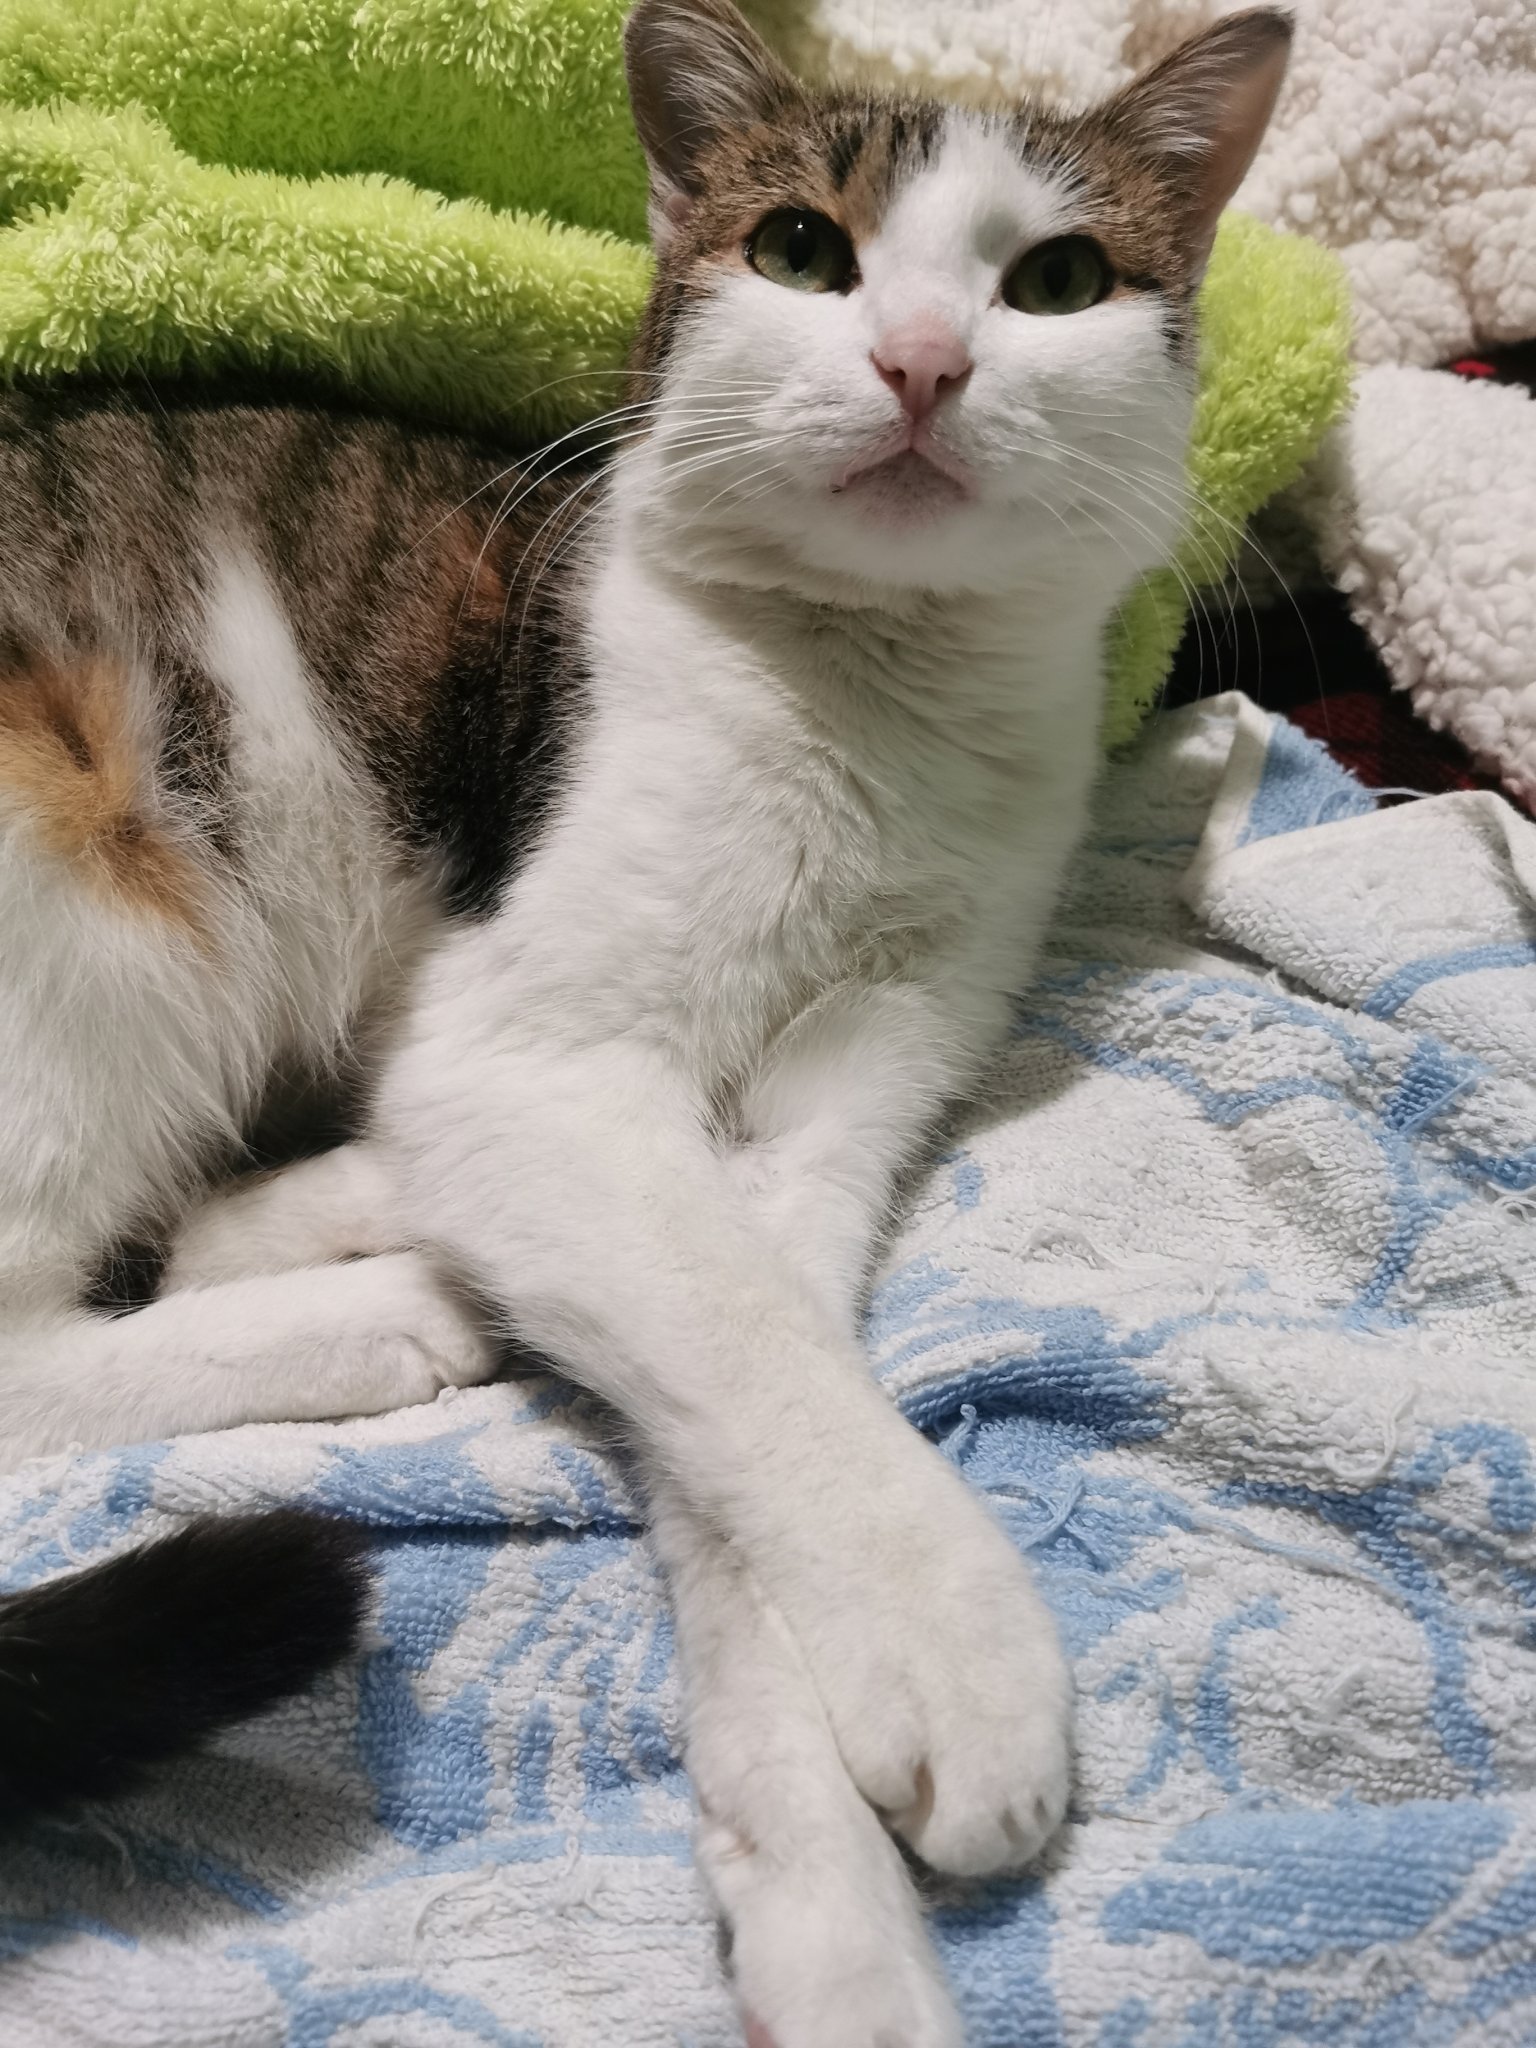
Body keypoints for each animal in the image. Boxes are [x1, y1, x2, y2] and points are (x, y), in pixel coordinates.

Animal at [0, 4, 1290, 2041]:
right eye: (801, 251)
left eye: (1058, 282)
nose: (922, 362)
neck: (878, 710)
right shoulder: (528, 1054)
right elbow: (758, 1355)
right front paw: (968, 1658)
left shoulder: (853, 1083)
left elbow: (759, 1388)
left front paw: (832, 1923)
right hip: (93, 867)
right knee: (20, 1340)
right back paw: (392, 1307)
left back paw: (328, 1220)